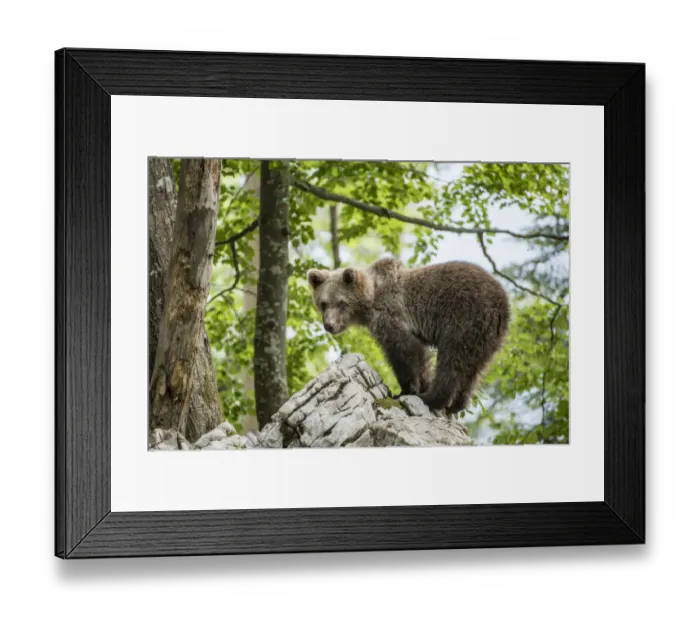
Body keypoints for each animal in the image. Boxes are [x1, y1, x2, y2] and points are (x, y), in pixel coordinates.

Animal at [307, 257, 510, 415]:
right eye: (323, 303)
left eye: (341, 303)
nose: (329, 325)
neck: (370, 300)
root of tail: (502, 303)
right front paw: (421, 384)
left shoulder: (392, 313)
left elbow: (405, 351)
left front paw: (407, 390)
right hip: (487, 337)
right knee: (473, 371)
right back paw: (456, 404)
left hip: (464, 318)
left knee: (451, 361)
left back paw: (432, 398)